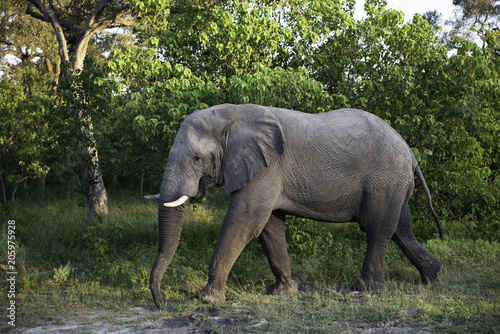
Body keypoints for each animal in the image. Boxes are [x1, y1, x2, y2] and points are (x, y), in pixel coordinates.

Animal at [148, 103, 442, 310]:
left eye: (197, 159)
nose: (162, 304)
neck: (232, 114)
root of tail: (410, 152)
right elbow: (270, 226)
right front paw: (282, 292)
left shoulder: (267, 168)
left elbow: (245, 222)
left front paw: (206, 299)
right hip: (394, 184)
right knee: (400, 229)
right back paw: (432, 277)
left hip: (385, 179)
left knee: (377, 229)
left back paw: (365, 289)